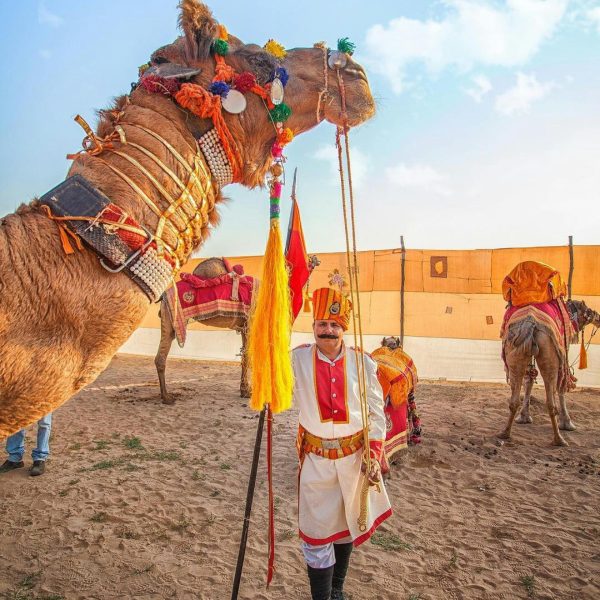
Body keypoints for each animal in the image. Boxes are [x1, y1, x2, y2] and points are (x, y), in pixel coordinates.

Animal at [154, 255, 254, 400]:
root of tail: (163, 295)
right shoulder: (251, 320)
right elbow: (248, 354)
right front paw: (247, 392)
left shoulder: (244, 325)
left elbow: (245, 353)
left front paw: (244, 391)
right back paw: (167, 397)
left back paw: (165, 395)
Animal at [500, 262, 596, 446]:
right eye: (588, 310)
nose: (598, 316)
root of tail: (530, 321)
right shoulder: (562, 350)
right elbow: (562, 385)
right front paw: (568, 423)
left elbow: (529, 380)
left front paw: (524, 417)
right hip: (549, 350)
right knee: (551, 398)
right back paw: (559, 439)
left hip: (514, 350)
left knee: (514, 397)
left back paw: (505, 433)